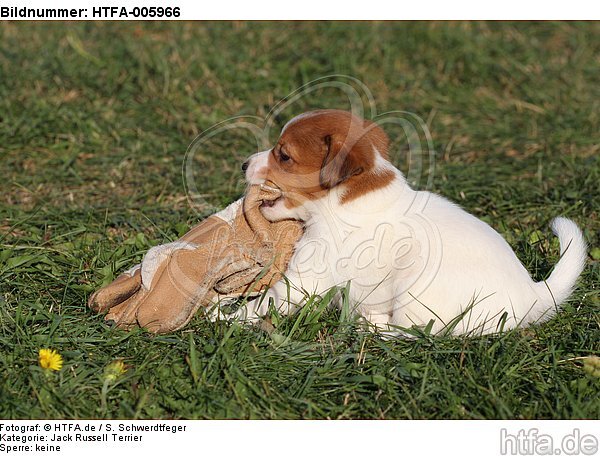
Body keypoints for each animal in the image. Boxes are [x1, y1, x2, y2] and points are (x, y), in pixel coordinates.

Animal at [217, 107, 584, 334]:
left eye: (283, 156)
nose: (243, 164)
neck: (339, 203)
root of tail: (533, 294)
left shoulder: (305, 280)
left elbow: (263, 303)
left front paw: (222, 317)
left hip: (416, 291)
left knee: (418, 333)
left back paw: (370, 327)